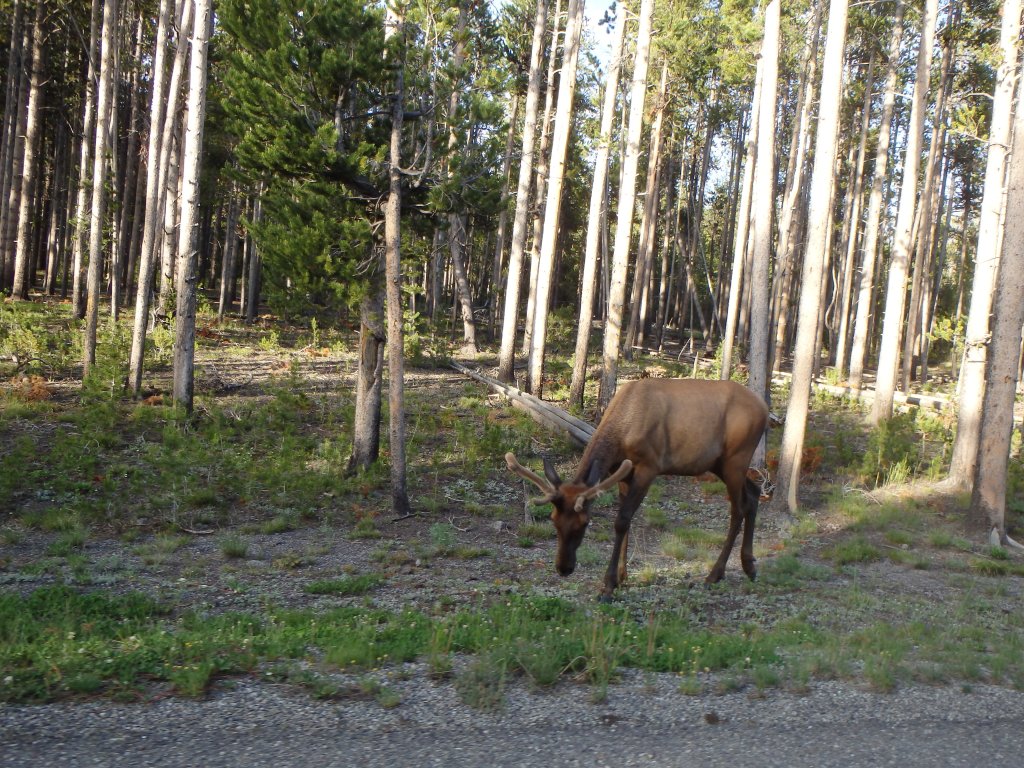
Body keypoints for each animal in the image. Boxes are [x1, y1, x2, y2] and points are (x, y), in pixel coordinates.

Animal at [506, 378, 769, 598]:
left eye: (585, 523)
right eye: (553, 520)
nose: (563, 568)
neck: (621, 433)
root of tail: (765, 409)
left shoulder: (649, 467)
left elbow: (621, 520)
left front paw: (609, 584)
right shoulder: (623, 473)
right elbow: (627, 520)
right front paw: (622, 576)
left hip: (736, 458)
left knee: (738, 508)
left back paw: (715, 574)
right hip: (720, 464)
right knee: (754, 494)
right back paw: (749, 565)